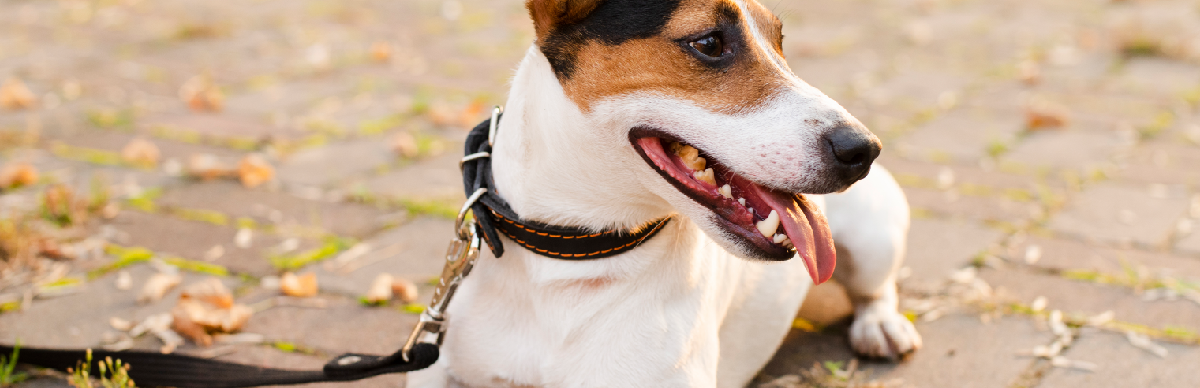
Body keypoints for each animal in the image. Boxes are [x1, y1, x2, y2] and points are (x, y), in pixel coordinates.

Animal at [408, 1, 921, 386]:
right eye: (709, 43)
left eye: (779, 43)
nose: (863, 149)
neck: (569, 259)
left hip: (874, 239)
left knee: (875, 288)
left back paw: (881, 325)